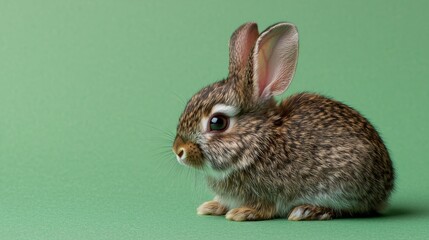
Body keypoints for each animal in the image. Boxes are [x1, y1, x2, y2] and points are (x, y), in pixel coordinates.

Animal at [171, 22, 394, 221]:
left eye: (217, 122)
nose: (178, 150)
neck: (257, 142)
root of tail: (386, 188)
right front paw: (211, 206)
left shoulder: (270, 193)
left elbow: (265, 207)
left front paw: (241, 213)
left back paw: (307, 211)